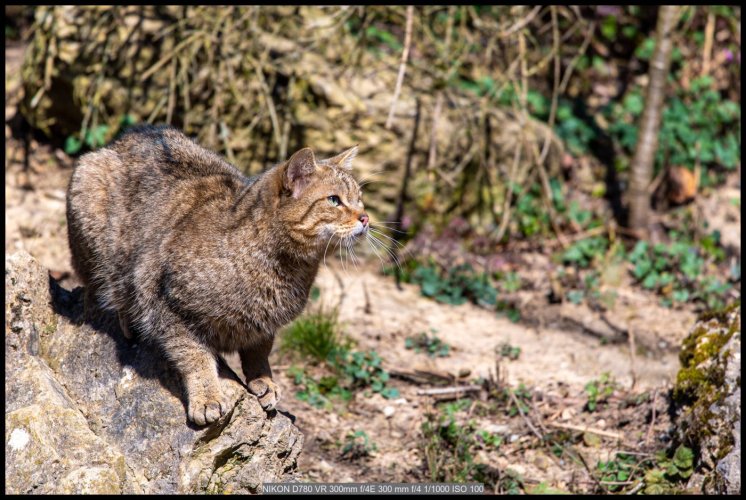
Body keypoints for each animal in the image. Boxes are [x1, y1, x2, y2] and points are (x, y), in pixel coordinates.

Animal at [65, 126, 368, 426]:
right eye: (334, 200)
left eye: (360, 200)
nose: (366, 217)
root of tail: (134, 132)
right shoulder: (165, 305)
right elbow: (195, 356)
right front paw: (207, 396)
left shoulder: (265, 327)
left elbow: (259, 352)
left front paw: (264, 380)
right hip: (88, 195)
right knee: (96, 285)